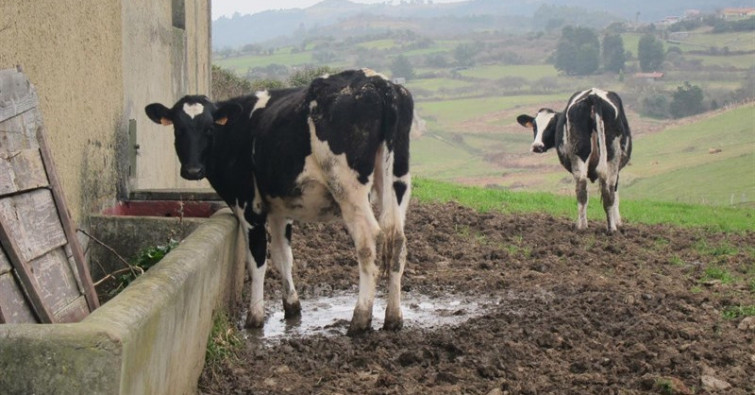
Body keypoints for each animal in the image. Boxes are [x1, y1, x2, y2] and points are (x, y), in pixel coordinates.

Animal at [143, 69, 414, 336]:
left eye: (209, 128)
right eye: (178, 129)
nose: (193, 170)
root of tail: (378, 82)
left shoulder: (249, 205)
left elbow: (257, 259)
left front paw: (254, 317)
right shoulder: (279, 210)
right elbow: (283, 256)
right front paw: (292, 307)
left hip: (348, 188)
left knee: (370, 240)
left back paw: (360, 319)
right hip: (397, 181)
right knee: (397, 241)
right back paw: (393, 318)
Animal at [516, 89, 636, 232]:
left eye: (550, 126)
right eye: (534, 126)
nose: (537, 146)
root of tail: (593, 96)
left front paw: (618, 222)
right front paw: (618, 222)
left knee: (592, 189)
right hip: (603, 156)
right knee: (595, 189)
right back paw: (594, 227)